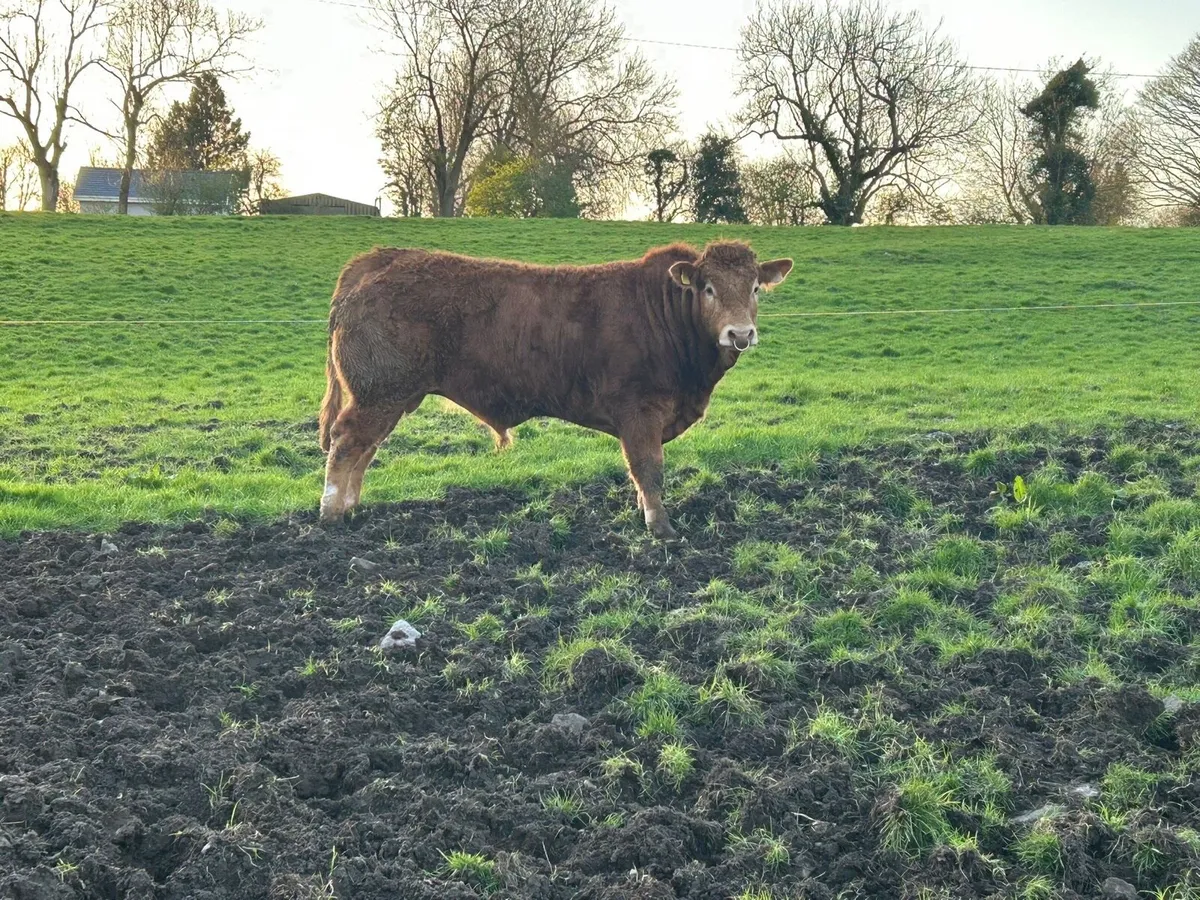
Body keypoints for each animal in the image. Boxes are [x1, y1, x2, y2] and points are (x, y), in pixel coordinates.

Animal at [317, 240, 793, 540]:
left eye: (755, 288)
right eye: (708, 288)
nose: (740, 334)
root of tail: (380, 259)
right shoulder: (640, 412)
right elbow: (649, 470)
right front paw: (661, 527)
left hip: (387, 397)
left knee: (364, 450)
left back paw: (352, 507)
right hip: (378, 394)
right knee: (346, 444)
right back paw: (331, 512)